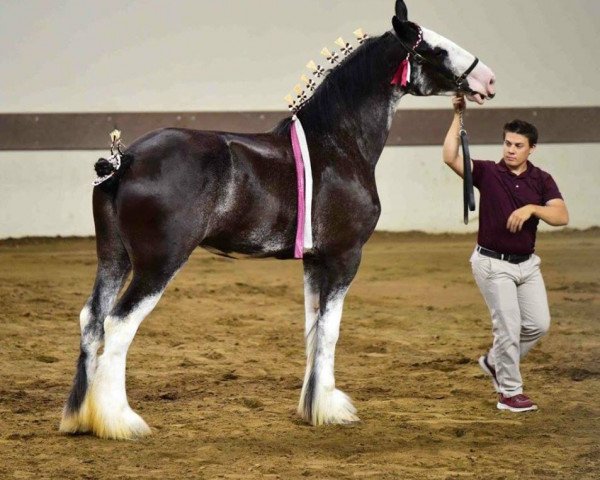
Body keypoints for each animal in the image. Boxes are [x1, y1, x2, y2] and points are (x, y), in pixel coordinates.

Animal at [61, 0, 494, 440]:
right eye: (436, 48)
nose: (488, 79)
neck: (337, 145)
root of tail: (125, 159)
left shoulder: (315, 261)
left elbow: (313, 328)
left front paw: (313, 406)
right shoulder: (345, 256)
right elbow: (331, 330)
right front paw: (331, 409)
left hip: (114, 258)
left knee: (91, 319)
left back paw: (80, 417)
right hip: (157, 265)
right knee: (118, 324)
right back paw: (120, 421)